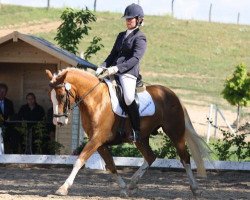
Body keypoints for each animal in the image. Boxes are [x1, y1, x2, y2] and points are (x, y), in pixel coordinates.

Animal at [45, 68, 211, 196]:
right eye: (50, 97)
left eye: (61, 96)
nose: (58, 122)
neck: (96, 99)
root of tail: (173, 95)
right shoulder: (99, 142)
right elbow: (111, 165)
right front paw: (124, 189)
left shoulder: (97, 139)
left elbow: (79, 161)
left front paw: (63, 188)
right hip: (141, 138)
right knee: (150, 157)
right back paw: (132, 184)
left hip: (175, 132)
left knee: (185, 157)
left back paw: (195, 189)